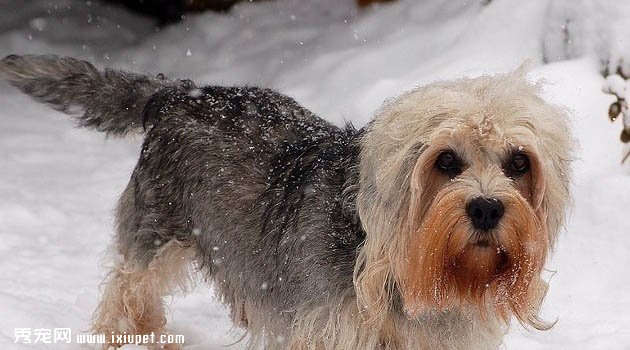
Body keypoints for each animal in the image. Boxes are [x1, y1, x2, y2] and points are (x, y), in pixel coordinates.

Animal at [0, 55, 572, 350]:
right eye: (446, 160)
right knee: (126, 293)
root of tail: (175, 93)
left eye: (519, 162)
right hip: (153, 236)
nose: (487, 208)